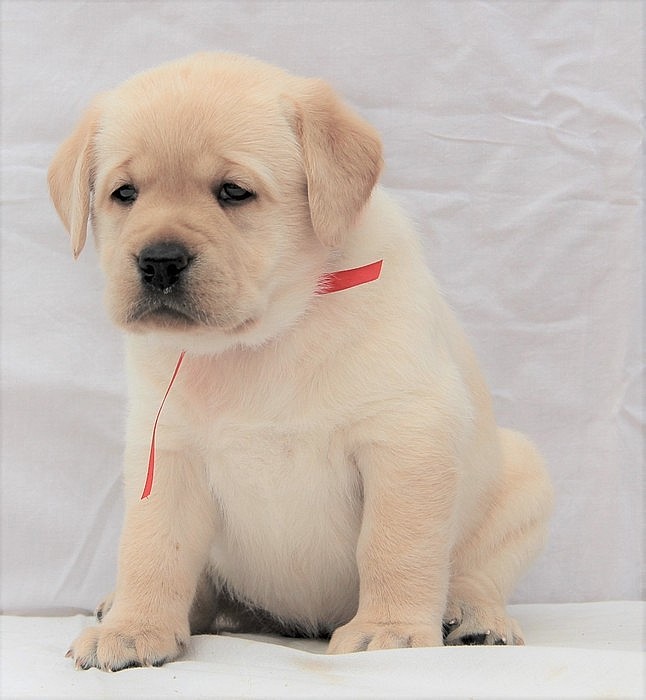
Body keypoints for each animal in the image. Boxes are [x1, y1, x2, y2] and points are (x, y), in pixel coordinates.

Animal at [48, 53, 553, 671]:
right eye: (125, 193)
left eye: (233, 191)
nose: (159, 261)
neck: (261, 341)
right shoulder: (167, 452)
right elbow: (152, 551)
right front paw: (135, 627)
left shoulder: (406, 438)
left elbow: (396, 546)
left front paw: (390, 629)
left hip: (525, 480)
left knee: (478, 573)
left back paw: (475, 618)